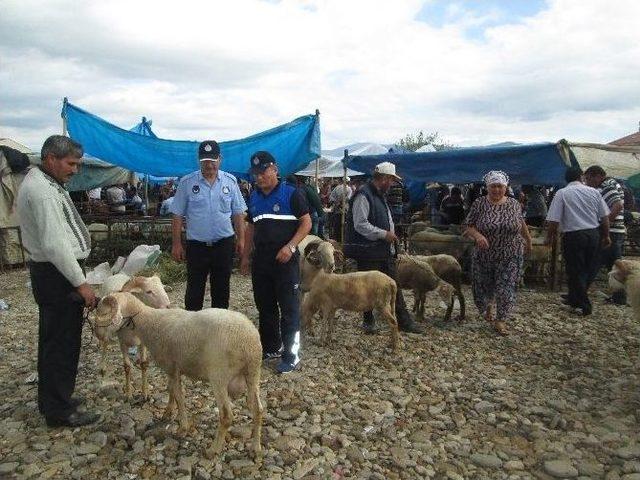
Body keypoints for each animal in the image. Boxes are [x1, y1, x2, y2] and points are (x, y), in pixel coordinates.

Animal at [92, 292, 262, 458]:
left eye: (104, 313)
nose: (97, 335)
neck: (147, 321)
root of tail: (248, 340)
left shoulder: (170, 367)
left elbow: (179, 396)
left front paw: (182, 427)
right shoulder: (173, 368)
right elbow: (171, 390)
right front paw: (168, 412)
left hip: (219, 376)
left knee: (226, 416)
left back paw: (213, 450)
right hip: (253, 373)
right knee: (258, 409)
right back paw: (255, 448)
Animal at [94, 272, 170, 400]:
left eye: (163, 288)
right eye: (149, 291)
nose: (168, 306)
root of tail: (116, 274)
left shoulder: (143, 342)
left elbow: (144, 364)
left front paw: (145, 393)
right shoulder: (122, 342)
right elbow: (127, 367)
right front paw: (129, 394)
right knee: (105, 344)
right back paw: (103, 368)